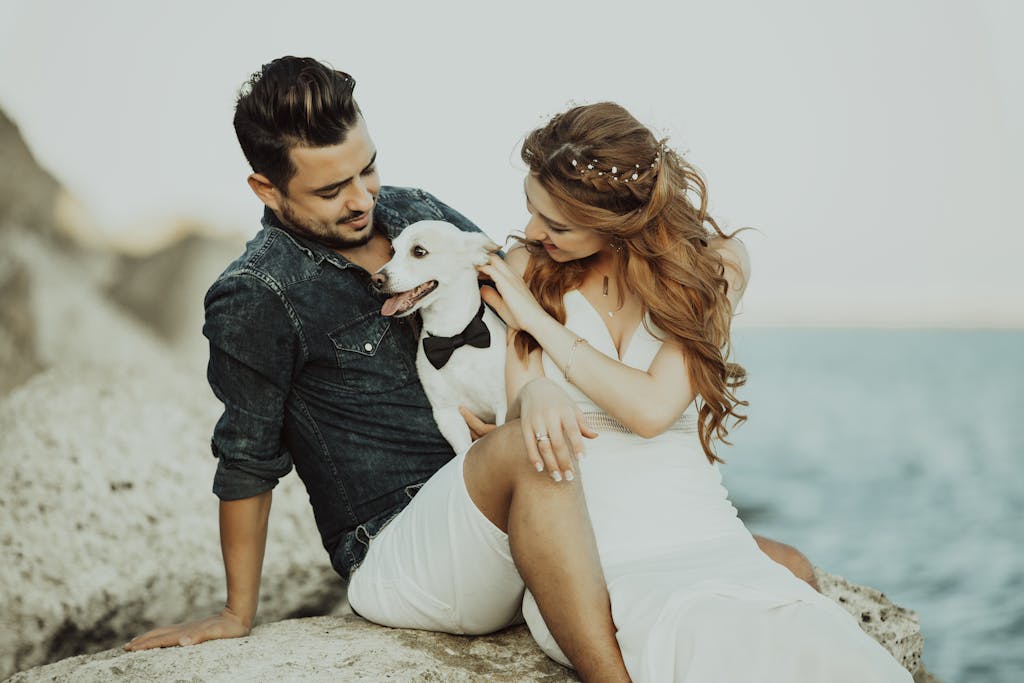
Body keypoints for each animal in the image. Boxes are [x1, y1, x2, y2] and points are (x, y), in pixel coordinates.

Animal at [374, 220, 505, 454]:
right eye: (393, 251)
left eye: (419, 251)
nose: (376, 279)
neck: (454, 337)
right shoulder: (447, 415)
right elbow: (463, 452)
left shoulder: (504, 405)